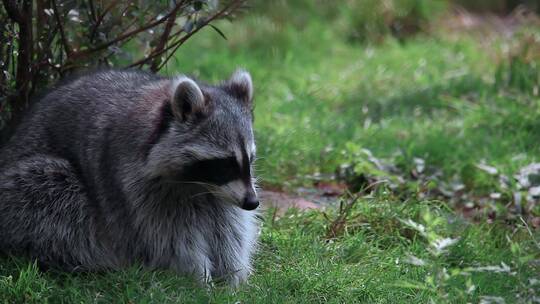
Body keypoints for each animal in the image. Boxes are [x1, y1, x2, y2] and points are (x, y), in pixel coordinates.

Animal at [0, 69, 260, 284]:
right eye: (225, 164)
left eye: (250, 159)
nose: (252, 202)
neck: (198, 184)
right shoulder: (139, 188)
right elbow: (170, 239)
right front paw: (196, 278)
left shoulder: (220, 194)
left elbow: (228, 228)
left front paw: (230, 277)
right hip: (32, 185)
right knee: (59, 204)